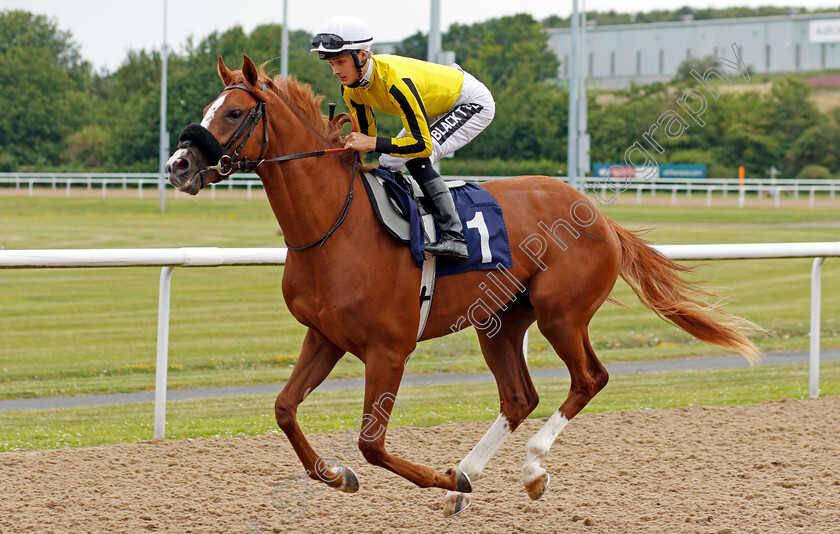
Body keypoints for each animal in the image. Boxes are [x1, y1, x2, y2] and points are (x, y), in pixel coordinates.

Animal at [169, 55, 760, 520]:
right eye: (208, 109)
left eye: (234, 112)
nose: (178, 166)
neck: (335, 226)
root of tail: (597, 213)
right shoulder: (325, 336)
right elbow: (285, 410)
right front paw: (340, 475)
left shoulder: (389, 349)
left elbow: (371, 443)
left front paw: (439, 478)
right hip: (499, 321)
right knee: (519, 396)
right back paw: (471, 477)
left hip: (560, 312)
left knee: (590, 378)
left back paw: (528, 469)